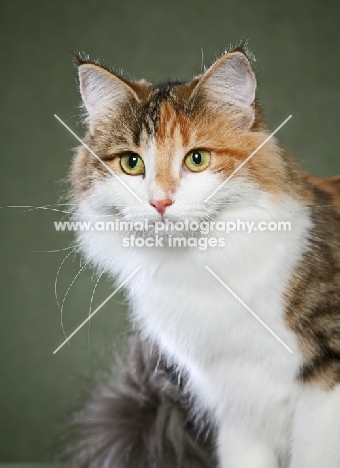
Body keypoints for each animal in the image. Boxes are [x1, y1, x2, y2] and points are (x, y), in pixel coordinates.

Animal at [66, 41, 340, 468]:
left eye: (197, 159)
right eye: (132, 163)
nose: (160, 202)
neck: (199, 266)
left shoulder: (324, 390)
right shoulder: (235, 403)